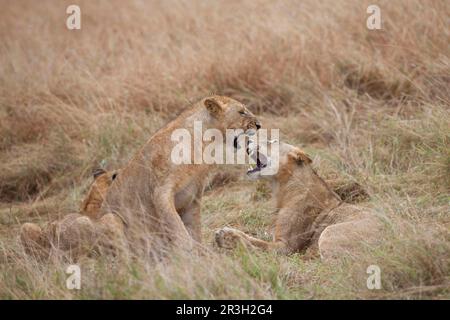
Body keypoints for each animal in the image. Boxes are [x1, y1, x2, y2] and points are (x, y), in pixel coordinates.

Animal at [99, 94, 260, 252]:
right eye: (242, 112)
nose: (259, 125)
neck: (204, 143)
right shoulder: (161, 191)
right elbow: (176, 225)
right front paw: (188, 251)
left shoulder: (193, 196)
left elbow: (194, 227)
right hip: (110, 218)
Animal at [213, 139, 382, 260]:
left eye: (271, 142)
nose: (247, 140)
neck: (281, 187)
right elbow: (254, 237)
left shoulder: (285, 246)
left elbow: (259, 245)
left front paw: (226, 236)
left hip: (328, 233)